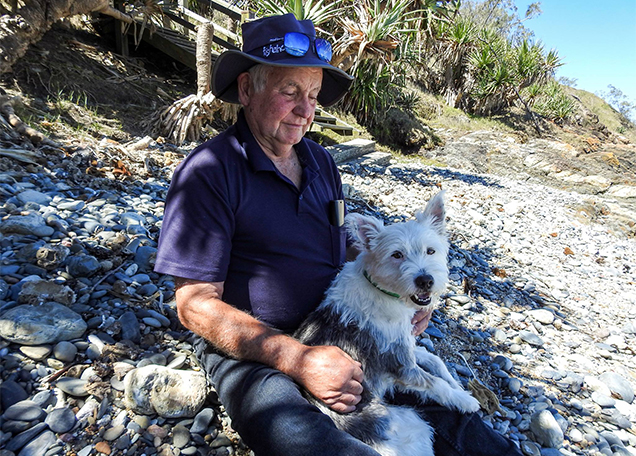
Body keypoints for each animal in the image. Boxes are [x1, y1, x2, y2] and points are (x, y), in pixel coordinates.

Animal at [294, 192, 480, 456]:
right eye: (396, 255)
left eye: (430, 251)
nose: (425, 280)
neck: (384, 291)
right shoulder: (401, 366)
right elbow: (435, 384)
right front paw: (465, 401)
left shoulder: (405, 344)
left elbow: (436, 361)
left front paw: (458, 386)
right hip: (415, 426)